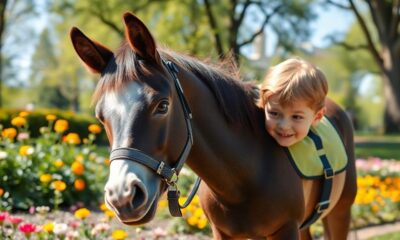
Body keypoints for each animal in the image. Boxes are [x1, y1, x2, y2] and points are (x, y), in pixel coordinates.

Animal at [69, 12, 356, 239]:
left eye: (162, 105)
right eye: (100, 116)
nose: (123, 196)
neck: (246, 175)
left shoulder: (286, 230)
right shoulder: (223, 232)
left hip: (339, 214)